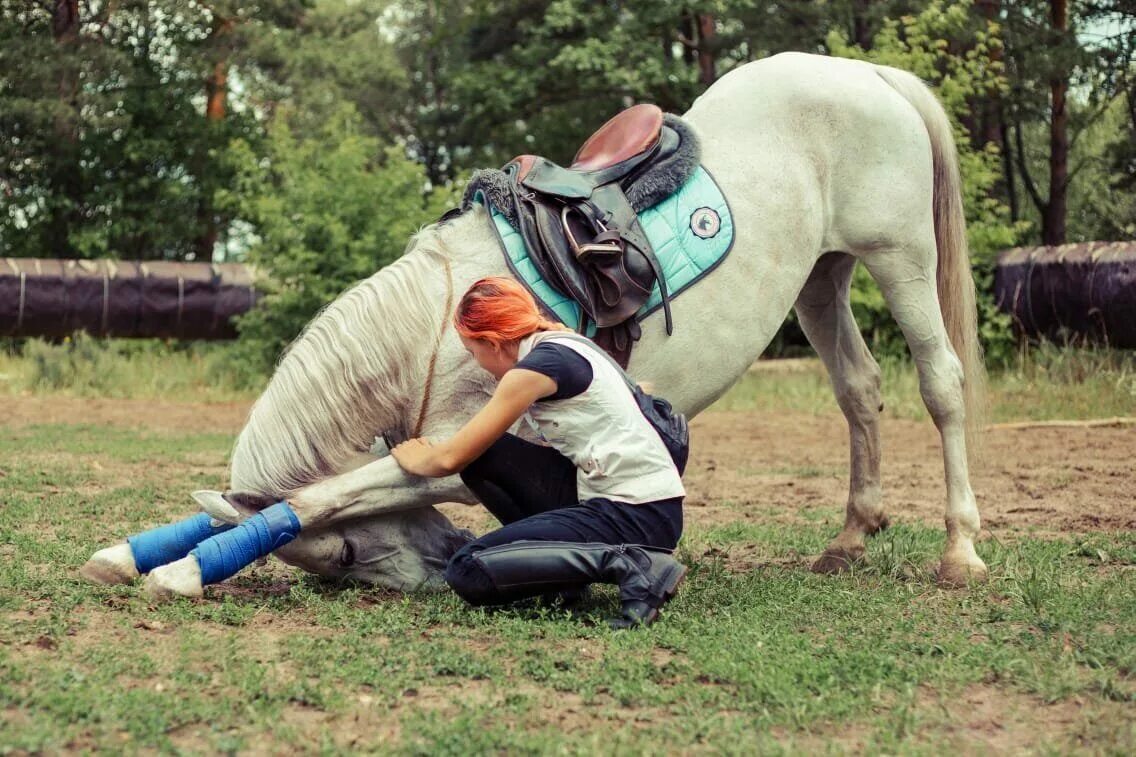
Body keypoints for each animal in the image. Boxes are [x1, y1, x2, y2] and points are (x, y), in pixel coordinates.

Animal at [80, 51, 990, 595]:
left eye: (344, 553)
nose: (440, 567)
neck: (432, 329)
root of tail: (868, 73)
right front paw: (133, 552)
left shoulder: (453, 453)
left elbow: (324, 492)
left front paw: (181, 571)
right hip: (822, 277)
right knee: (859, 389)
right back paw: (850, 539)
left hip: (900, 257)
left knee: (941, 386)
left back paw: (961, 550)